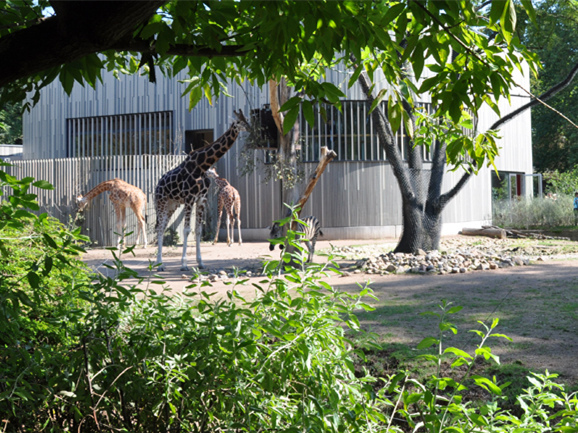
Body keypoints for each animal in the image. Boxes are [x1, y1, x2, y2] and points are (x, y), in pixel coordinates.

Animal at [155, 109, 248, 270]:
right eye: (238, 122)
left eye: (246, 119)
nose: (249, 128)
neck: (202, 165)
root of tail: (158, 185)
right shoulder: (189, 198)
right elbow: (187, 230)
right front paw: (184, 264)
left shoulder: (201, 199)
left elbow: (198, 230)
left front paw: (200, 262)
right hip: (161, 202)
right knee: (160, 228)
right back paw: (159, 264)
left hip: (171, 205)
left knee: (163, 226)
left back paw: (159, 263)